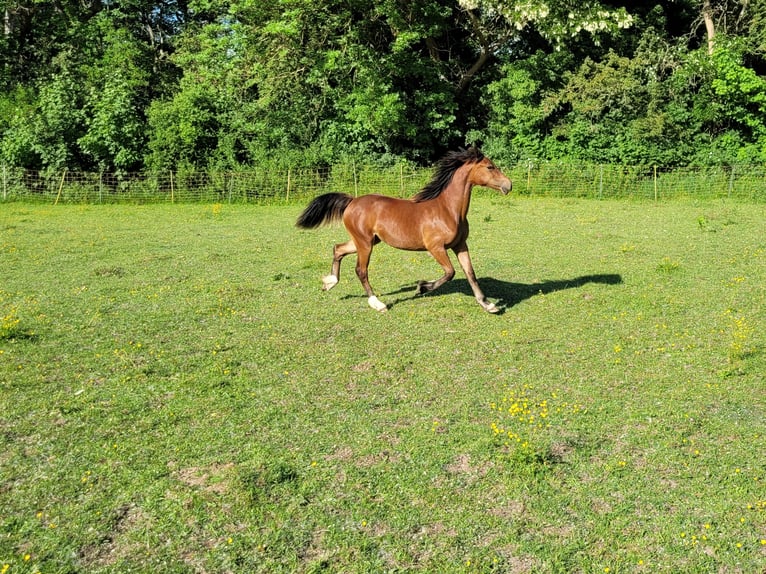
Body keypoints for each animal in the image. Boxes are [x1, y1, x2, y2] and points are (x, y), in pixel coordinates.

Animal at [296, 147, 512, 313]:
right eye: (490, 167)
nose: (509, 185)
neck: (448, 210)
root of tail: (352, 201)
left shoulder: (460, 245)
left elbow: (470, 273)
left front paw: (488, 305)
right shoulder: (436, 247)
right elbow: (450, 272)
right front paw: (423, 287)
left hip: (367, 240)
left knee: (338, 249)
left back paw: (329, 282)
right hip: (365, 243)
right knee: (361, 270)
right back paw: (378, 304)